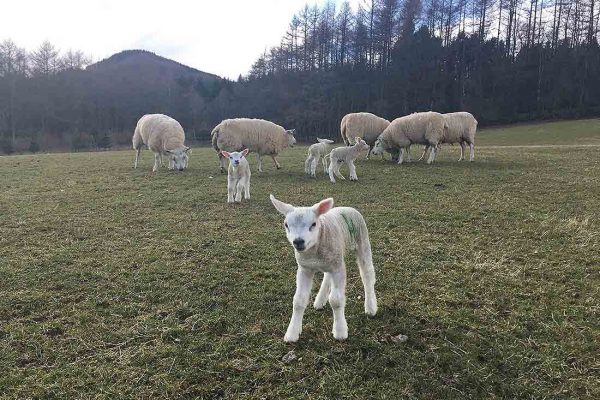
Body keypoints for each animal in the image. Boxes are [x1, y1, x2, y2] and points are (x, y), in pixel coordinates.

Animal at [270, 195, 378, 342]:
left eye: (313, 224)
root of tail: (348, 207)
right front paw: (292, 333)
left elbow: (336, 300)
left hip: (362, 242)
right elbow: (298, 300)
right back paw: (320, 301)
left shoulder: (338, 267)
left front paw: (340, 331)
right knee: (327, 277)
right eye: (286, 225)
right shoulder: (304, 269)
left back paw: (371, 307)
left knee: (367, 275)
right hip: (332, 259)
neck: (314, 253)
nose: (298, 241)